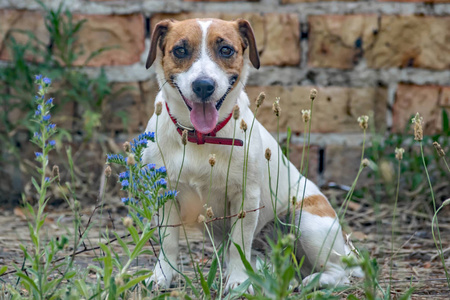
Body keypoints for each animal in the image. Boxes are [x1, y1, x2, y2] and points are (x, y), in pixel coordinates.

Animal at [142, 18, 360, 292]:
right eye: (180, 50)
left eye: (226, 50)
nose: (203, 86)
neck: (200, 137)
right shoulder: (165, 195)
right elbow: (168, 242)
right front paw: (161, 275)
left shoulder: (246, 197)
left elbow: (239, 244)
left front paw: (238, 282)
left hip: (307, 219)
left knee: (339, 272)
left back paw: (313, 282)